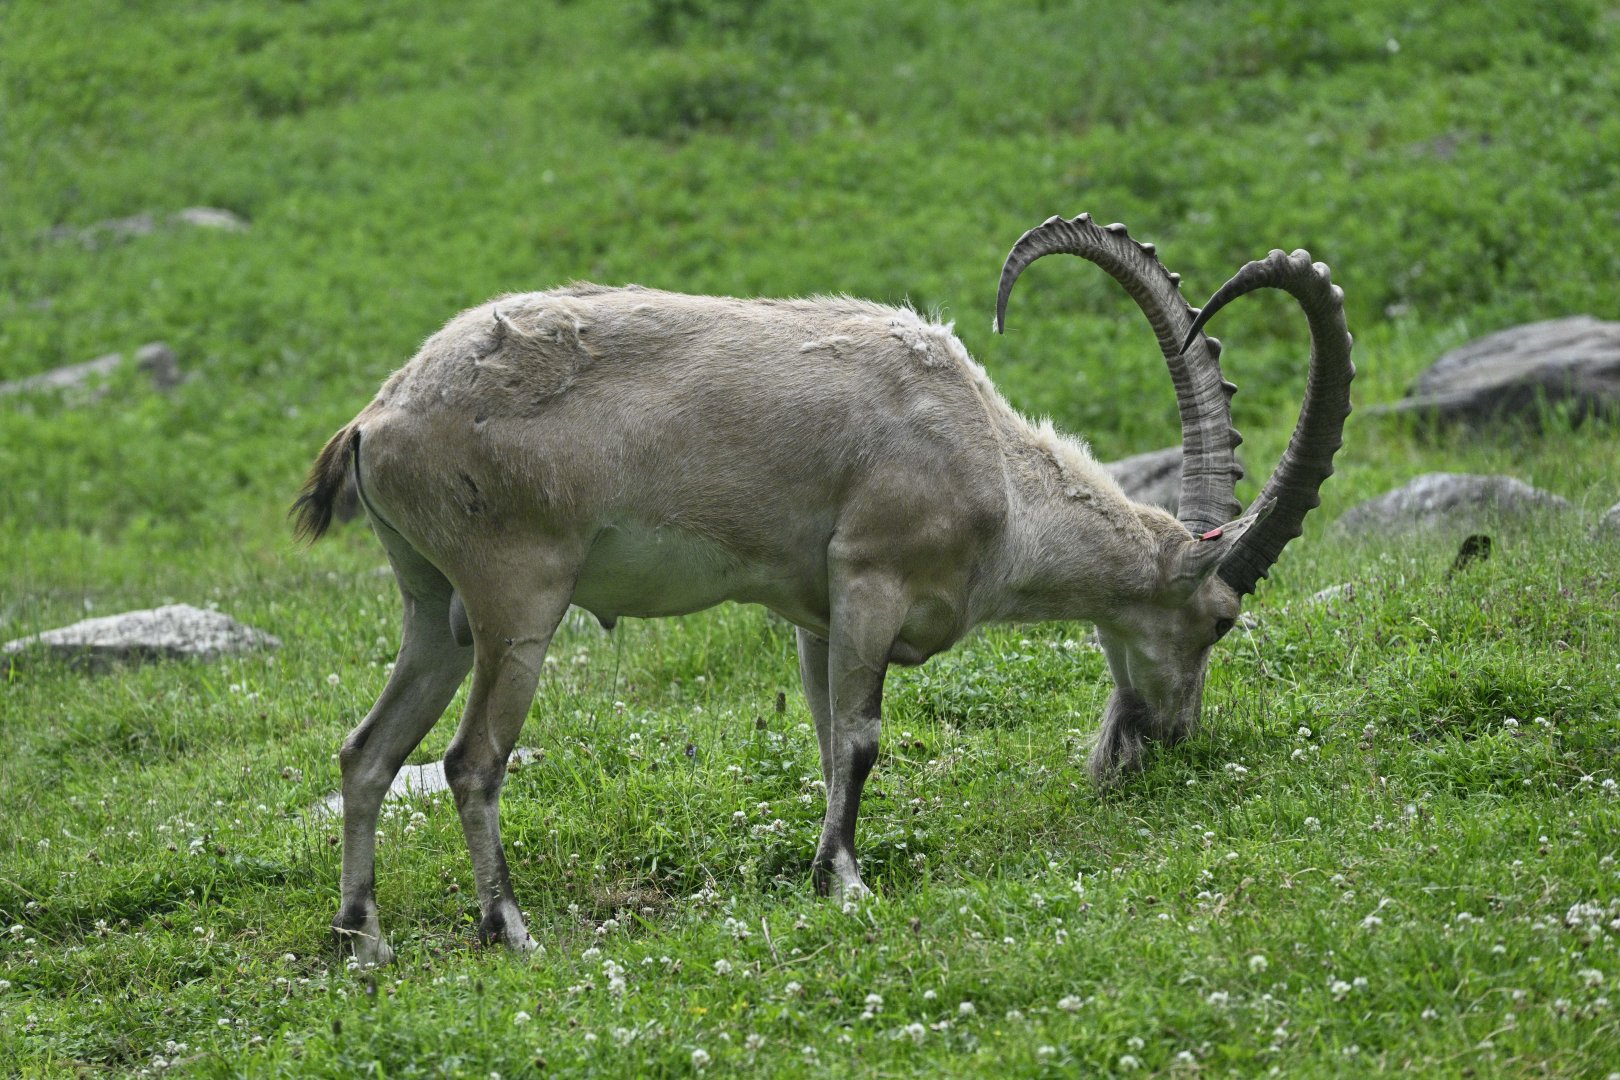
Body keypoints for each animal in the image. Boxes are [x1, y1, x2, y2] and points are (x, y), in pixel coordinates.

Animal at [294, 214, 1352, 965]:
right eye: (1221, 621)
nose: (1170, 738)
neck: (988, 463)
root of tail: (377, 419)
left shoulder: (816, 617)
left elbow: (822, 734)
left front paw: (823, 865)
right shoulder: (872, 579)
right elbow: (861, 738)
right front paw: (845, 881)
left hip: (434, 611)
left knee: (367, 752)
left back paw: (363, 938)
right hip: (518, 604)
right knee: (471, 760)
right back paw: (508, 929)